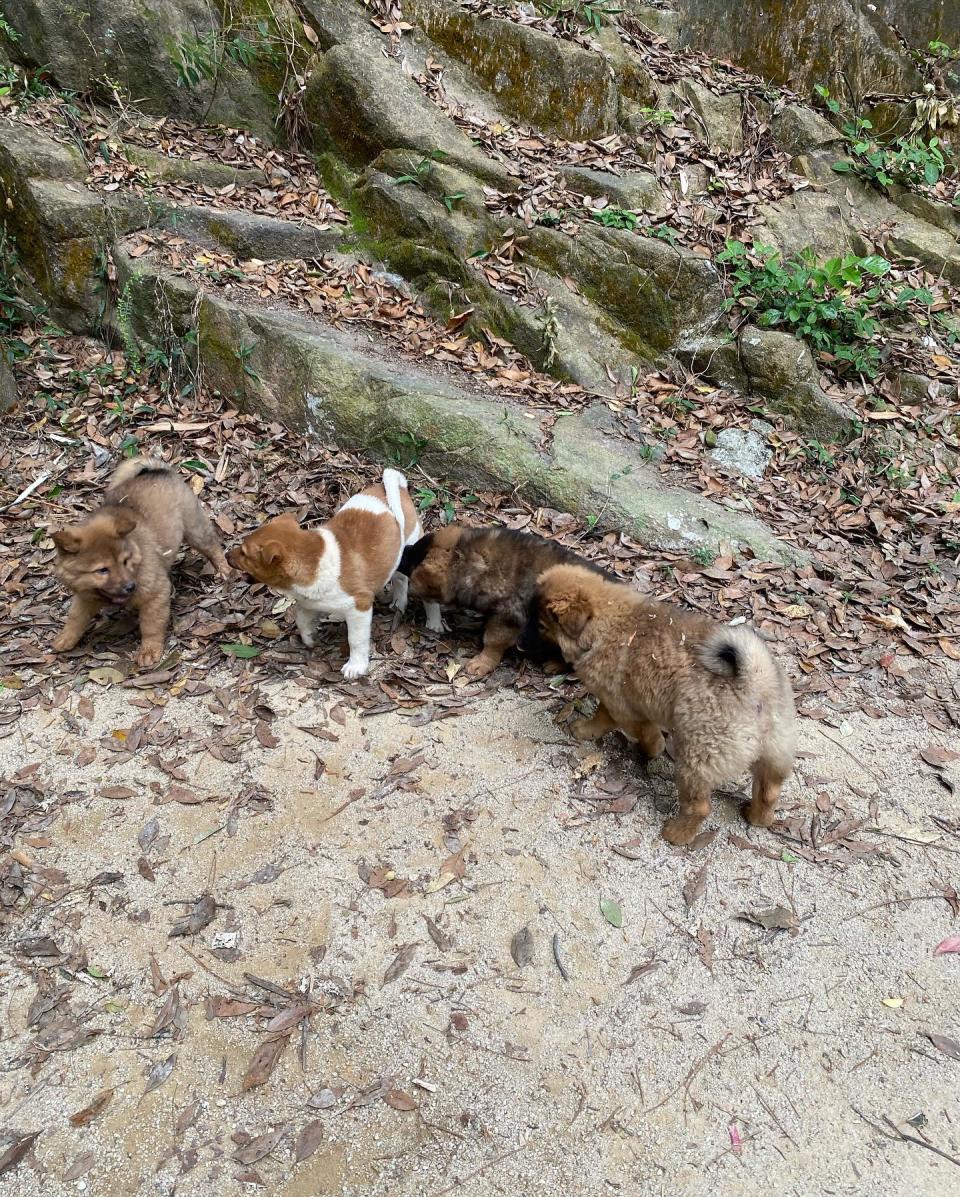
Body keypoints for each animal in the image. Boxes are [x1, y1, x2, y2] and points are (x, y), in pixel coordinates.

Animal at [52, 454, 229, 670]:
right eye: (102, 570)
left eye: (125, 561)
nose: (130, 587)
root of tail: (159, 471)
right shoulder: (86, 597)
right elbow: (75, 618)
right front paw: (65, 638)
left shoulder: (155, 594)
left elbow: (151, 626)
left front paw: (149, 651)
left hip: (195, 530)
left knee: (213, 548)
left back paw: (224, 569)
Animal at [226, 464, 440, 675]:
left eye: (244, 553)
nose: (227, 555)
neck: (313, 559)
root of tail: (400, 487)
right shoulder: (308, 603)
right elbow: (301, 620)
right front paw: (309, 638)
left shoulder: (360, 606)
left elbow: (356, 640)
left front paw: (356, 666)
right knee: (398, 579)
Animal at [533, 564, 794, 847]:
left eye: (541, 626)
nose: (525, 643)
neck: (606, 620)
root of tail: (754, 681)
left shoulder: (619, 704)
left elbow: (611, 722)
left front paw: (588, 731)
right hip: (774, 751)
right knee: (769, 791)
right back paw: (757, 817)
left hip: (697, 758)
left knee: (699, 807)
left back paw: (676, 834)